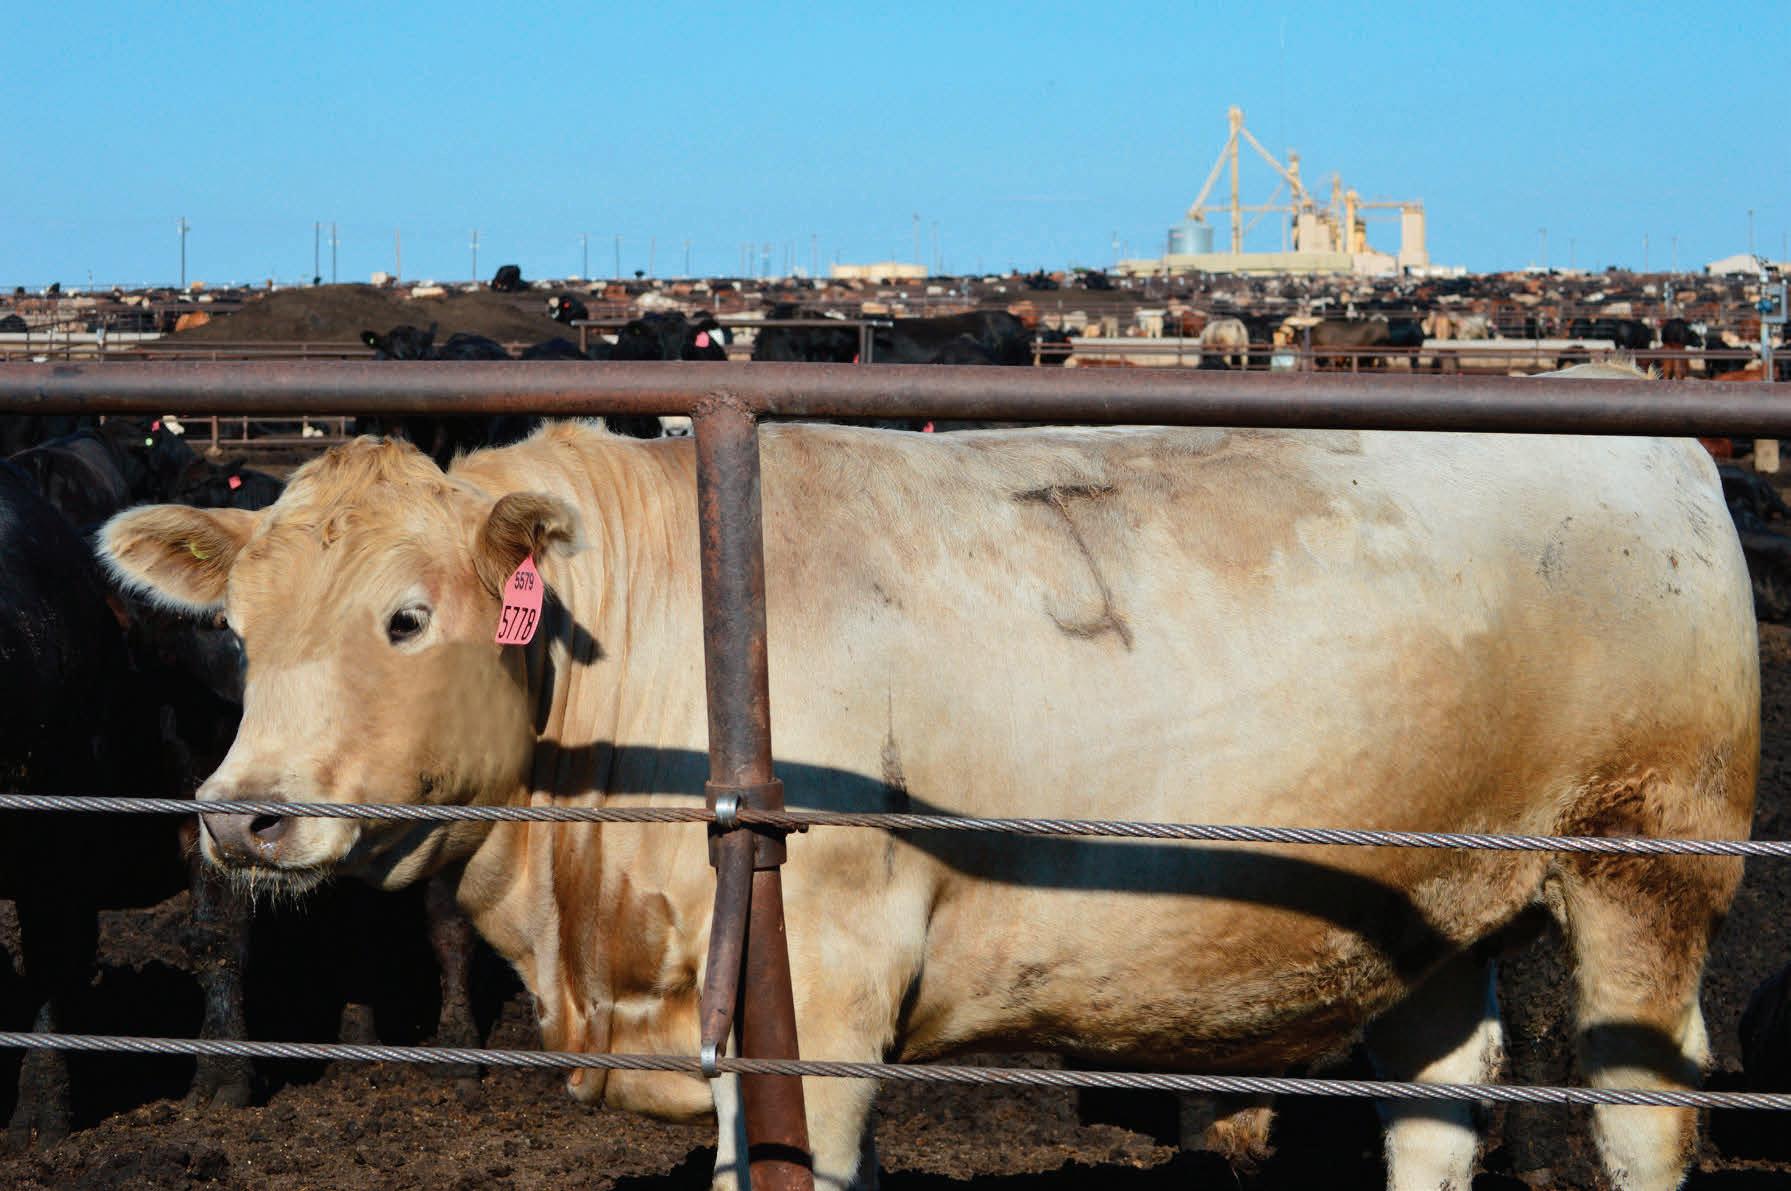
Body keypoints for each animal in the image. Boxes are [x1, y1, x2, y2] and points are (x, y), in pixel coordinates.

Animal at [104, 403, 1755, 1191]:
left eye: (404, 616)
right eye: (237, 623)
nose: (243, 811)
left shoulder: (819, 983)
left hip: (1643, 857)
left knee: (1638, 1106)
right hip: (1415, 889)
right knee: (1436, 1095)